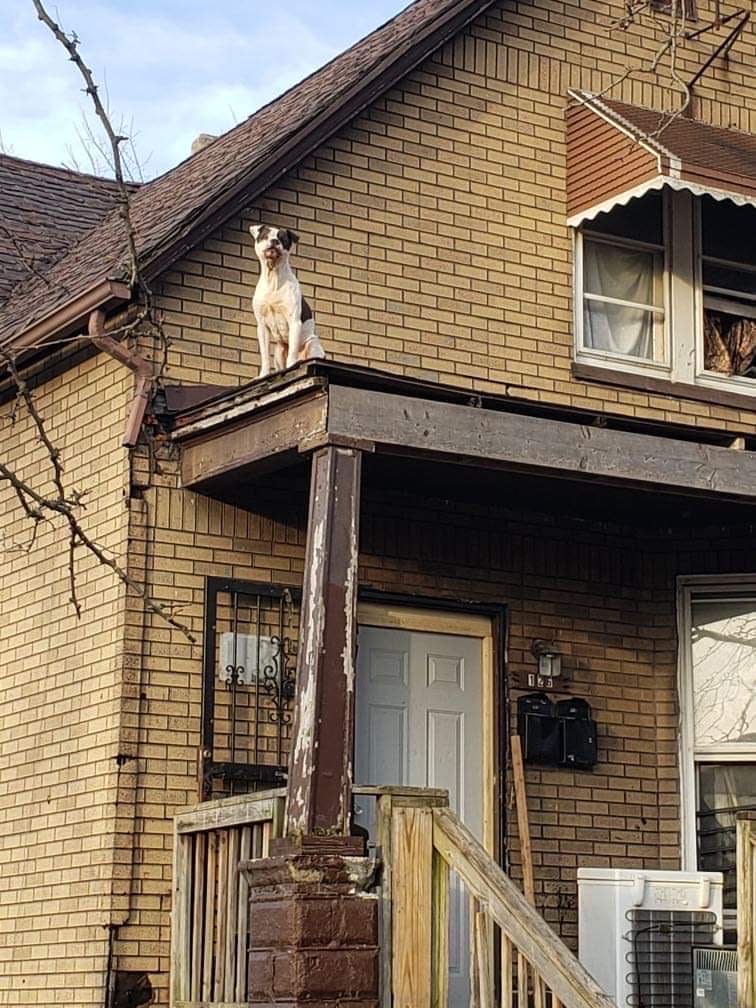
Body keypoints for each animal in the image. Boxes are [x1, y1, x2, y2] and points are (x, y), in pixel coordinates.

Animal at [249, 224, 324, 379]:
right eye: (265, 236)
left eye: (282, 238)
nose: (274, 240)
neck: (273, 277)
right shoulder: (262, 326)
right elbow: (265, 356)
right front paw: (263, 374)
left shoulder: (294, 321)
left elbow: (292, 354)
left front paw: (292, 368)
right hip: (278, 351)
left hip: (312, 344)